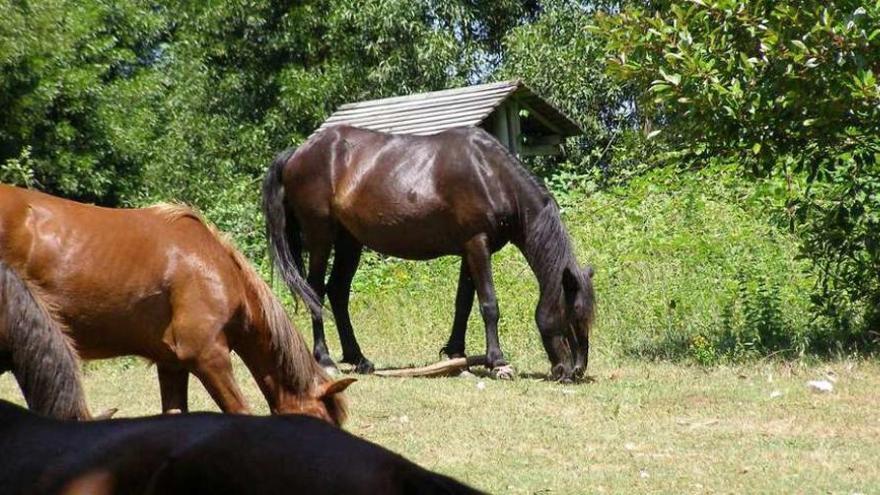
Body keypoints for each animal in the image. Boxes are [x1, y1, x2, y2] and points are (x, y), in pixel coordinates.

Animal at [262, 125, 600, 384]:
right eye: (570, 314)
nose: (574, 371)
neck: (489, 174)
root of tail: (297, 152)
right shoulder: (477, 244)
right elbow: (489, 304)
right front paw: (498, 362)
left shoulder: (470, 249)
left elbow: (463, 304)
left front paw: (456, 355)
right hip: (321, 237)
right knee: (315, 291)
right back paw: (326, 359)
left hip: (350, 241)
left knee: (338, 292)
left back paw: (359, 359)